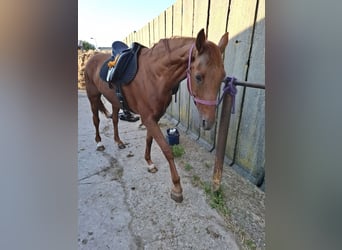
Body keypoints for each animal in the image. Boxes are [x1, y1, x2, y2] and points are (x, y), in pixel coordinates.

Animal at [84, 28, 228, 203]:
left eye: (222, 77)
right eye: (198, 76)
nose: (209, 122)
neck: (155, 75)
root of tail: (92, 58)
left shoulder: (153, 118)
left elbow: (149, 140)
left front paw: (149, 163)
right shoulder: (148, 118)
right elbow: (166, 149)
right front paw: (177, 187)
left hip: (114, 101)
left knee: (115, 120)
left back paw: (118, 142)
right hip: (93, 97)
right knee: (96, 120)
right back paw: (99, 143)